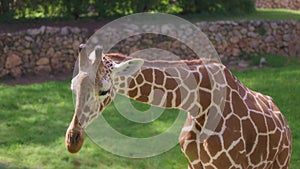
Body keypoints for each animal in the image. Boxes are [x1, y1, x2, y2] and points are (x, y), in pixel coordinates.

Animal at [65, 45, 290, 169]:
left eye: (104, 90)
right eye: (72, 87)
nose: (72, 141)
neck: (200, 104)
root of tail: (284, 121)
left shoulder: (232, 165)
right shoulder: (193, 163)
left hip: (281, 162)